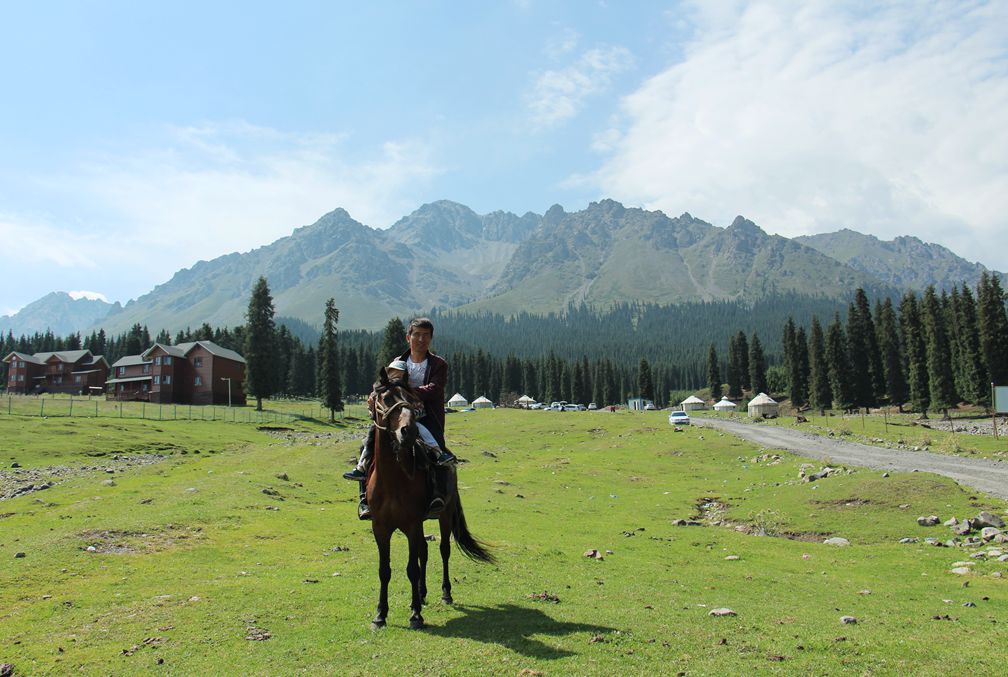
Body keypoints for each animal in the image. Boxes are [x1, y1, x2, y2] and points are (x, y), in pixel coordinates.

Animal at [370, 380, 495, 628]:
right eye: (385, 398)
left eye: (409, 397)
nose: (409, 431)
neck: (392, 479)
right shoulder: (380, 528)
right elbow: (384, 570)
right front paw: (380, 615)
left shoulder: (411, 524)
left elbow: (412, 568)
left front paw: (415, 615)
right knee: (424, 552)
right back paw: (422, 593)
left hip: (444, 515)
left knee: (443, 550)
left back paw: (445, 594)